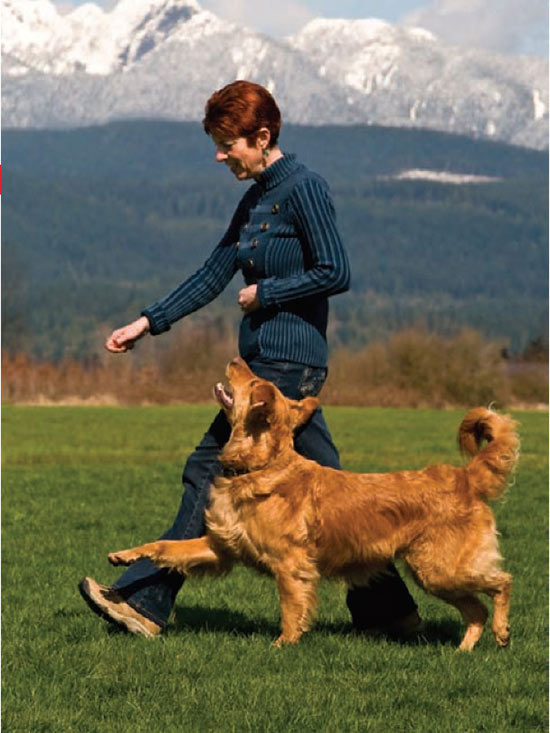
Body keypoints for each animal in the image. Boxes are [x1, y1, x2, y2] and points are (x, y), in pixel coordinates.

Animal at [110, 358, 520, 648]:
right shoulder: (221, 548)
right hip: (436, 574)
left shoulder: (291, 564)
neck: (259, 467)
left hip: (439, 568)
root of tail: (463, 477)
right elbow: (165, 546)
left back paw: (502, 632)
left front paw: (283, 645)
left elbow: (291, 608)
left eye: (253, 383)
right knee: (476, 609)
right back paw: (464, 650)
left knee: (501, 583)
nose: (236, 358)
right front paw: (125, 555)